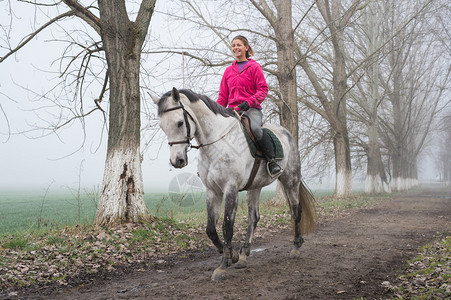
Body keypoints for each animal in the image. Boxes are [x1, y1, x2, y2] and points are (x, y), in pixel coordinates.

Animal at [155, 88, 318, 280]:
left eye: (180, 123)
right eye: (162, 126)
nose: (177, 161)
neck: (217, 144)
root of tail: (286, 133)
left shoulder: (230, 189)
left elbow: (227, 227)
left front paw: (223, 266)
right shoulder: (213, 191)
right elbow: (211, 229)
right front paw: (231, 255)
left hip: (290, 180)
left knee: (296, 211)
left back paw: (295, 247)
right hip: (255, 187)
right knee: (254, 218)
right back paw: (243, 256)